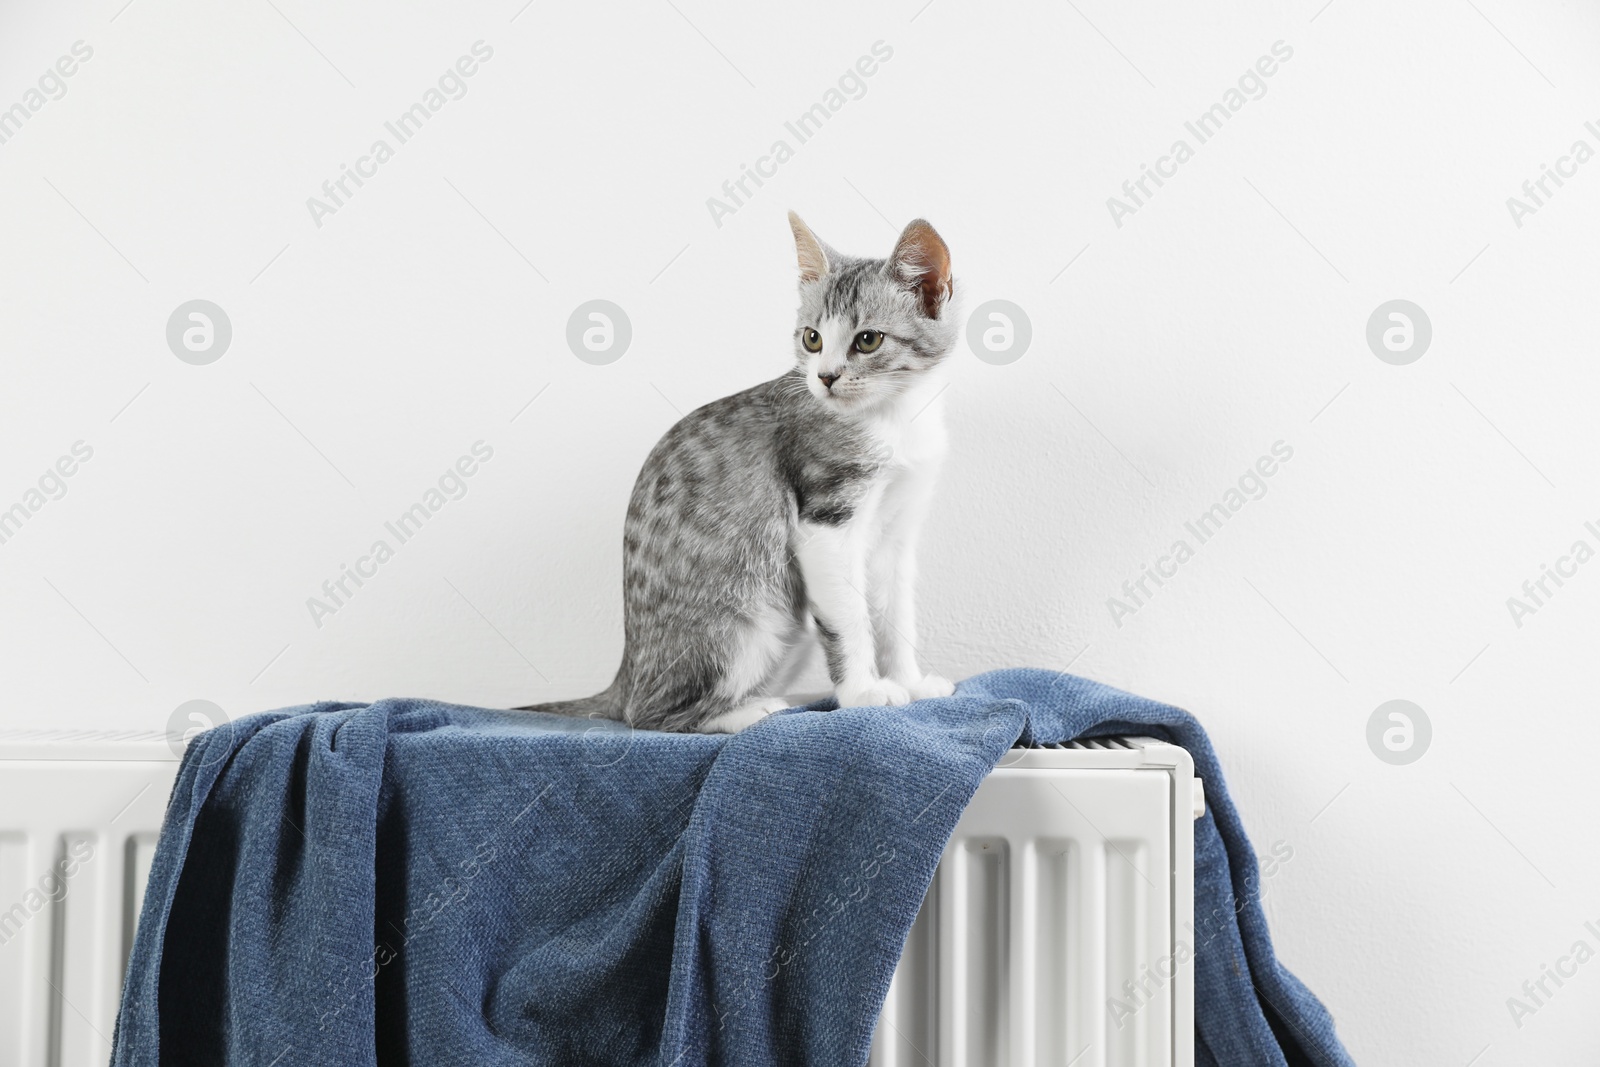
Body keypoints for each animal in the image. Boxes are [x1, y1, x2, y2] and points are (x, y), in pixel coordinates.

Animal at [518, 217, 953, 735]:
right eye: (812, 338)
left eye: (868, 340)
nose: (824, 377)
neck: (894, 416)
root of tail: (624, 676)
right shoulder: (825, 519)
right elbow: (849, 616)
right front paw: (863, 693)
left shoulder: (897, 529)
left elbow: (895, 612)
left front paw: (910, 682)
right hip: (750, 616)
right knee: (649, 715)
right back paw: (747, 711)